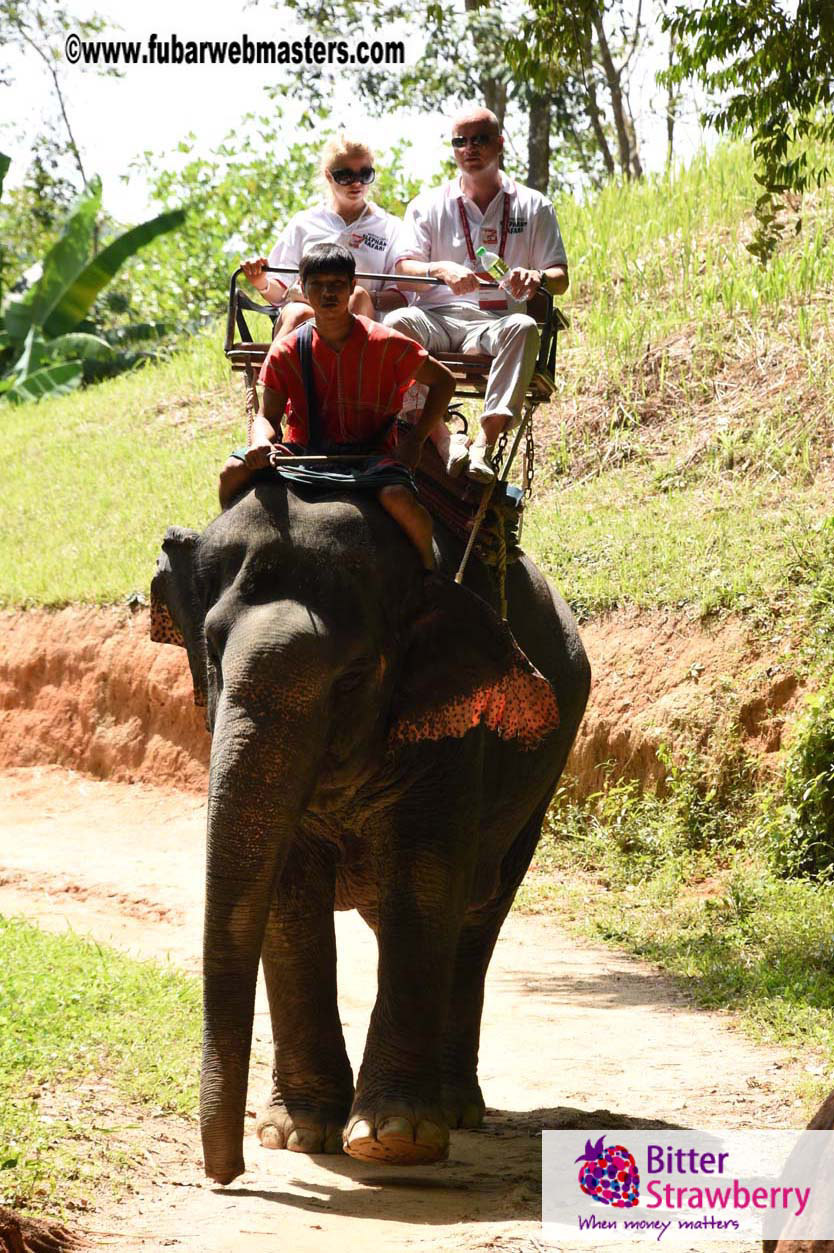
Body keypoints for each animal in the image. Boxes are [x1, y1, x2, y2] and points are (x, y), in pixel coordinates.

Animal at [151, 472, 590, 1185]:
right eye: (212, 655)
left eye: (353, 677)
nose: (228, 1175)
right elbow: (289, 896)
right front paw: (298, 1133)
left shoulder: (455, 731)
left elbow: (424, 883)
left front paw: (393, 1138)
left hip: (545, 773)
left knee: (478, 913)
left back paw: (453, 1109)